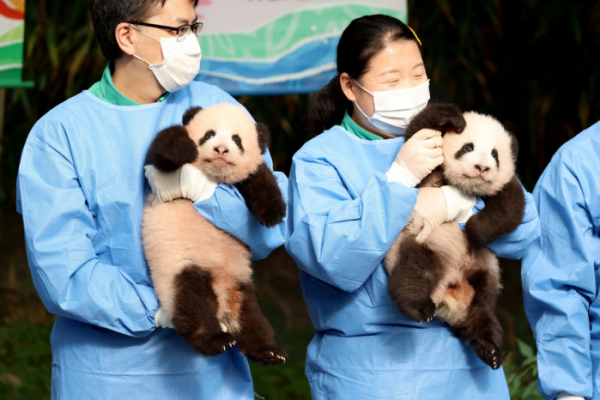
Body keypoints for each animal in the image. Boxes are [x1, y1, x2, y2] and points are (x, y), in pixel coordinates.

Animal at [143, 104, 288, 366]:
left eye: (237, 140)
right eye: (209, 135)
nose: (221, 149)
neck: (213, 175)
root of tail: (223, 307)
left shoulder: (248, 174)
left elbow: (261, 177)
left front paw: (273, 213)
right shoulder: (160, 166)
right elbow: (161, 147)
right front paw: (184, 148)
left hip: (242, 285)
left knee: (253, 320)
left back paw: (269, 351)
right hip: (183, 267)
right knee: (192, 302)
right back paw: (215, 340)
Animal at [384, 103, 524, 368]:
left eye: (495, 155)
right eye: (467, 148)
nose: (482, 168)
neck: (465, 187)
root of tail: (449, 290)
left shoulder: (505, 186)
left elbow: (510, 207)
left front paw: (474, 228)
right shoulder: (428, 175)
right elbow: (415, 131)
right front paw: (450, 117)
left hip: (485, 271)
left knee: (482, 310)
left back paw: (490, 349)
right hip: (423, 243)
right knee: (414, 272)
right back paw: (418, 308)